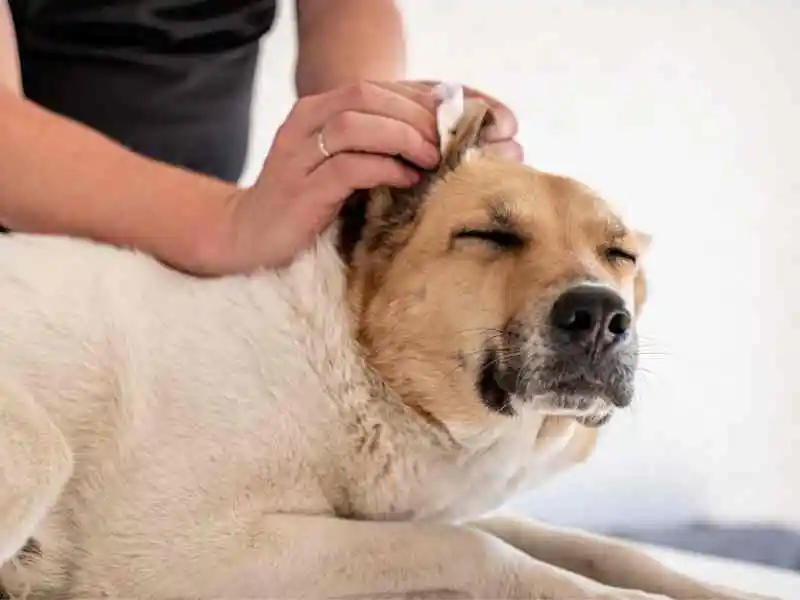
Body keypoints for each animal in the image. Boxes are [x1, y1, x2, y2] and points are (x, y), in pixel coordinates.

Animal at [0, 90, 780, 600]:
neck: (346, 366)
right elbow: (484, 549)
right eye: (489, 235)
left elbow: (596, 546)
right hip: (38, 453)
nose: (599, 314)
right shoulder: (189, 552)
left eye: (619, 255)